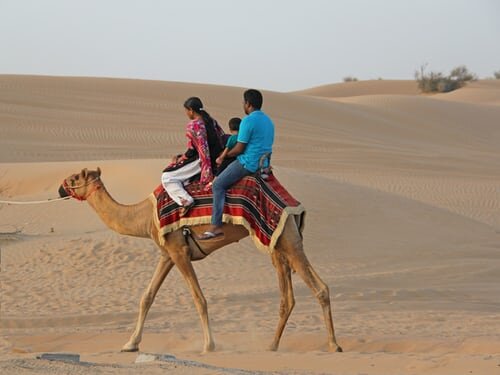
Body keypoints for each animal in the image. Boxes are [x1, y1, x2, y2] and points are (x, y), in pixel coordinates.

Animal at [56, 169, 342, 354]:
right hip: (278, 245)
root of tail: (293, 203)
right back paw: (272, 345)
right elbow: (147, 297)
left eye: (74, 178)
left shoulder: (179, 251)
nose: (59, 188)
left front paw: (209, 345)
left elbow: (198, 298)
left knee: (318, 288)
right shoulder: (167, 254)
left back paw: (333, 345)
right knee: (289, 296)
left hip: (286, 239)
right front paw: (130, 344)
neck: (144, 217)